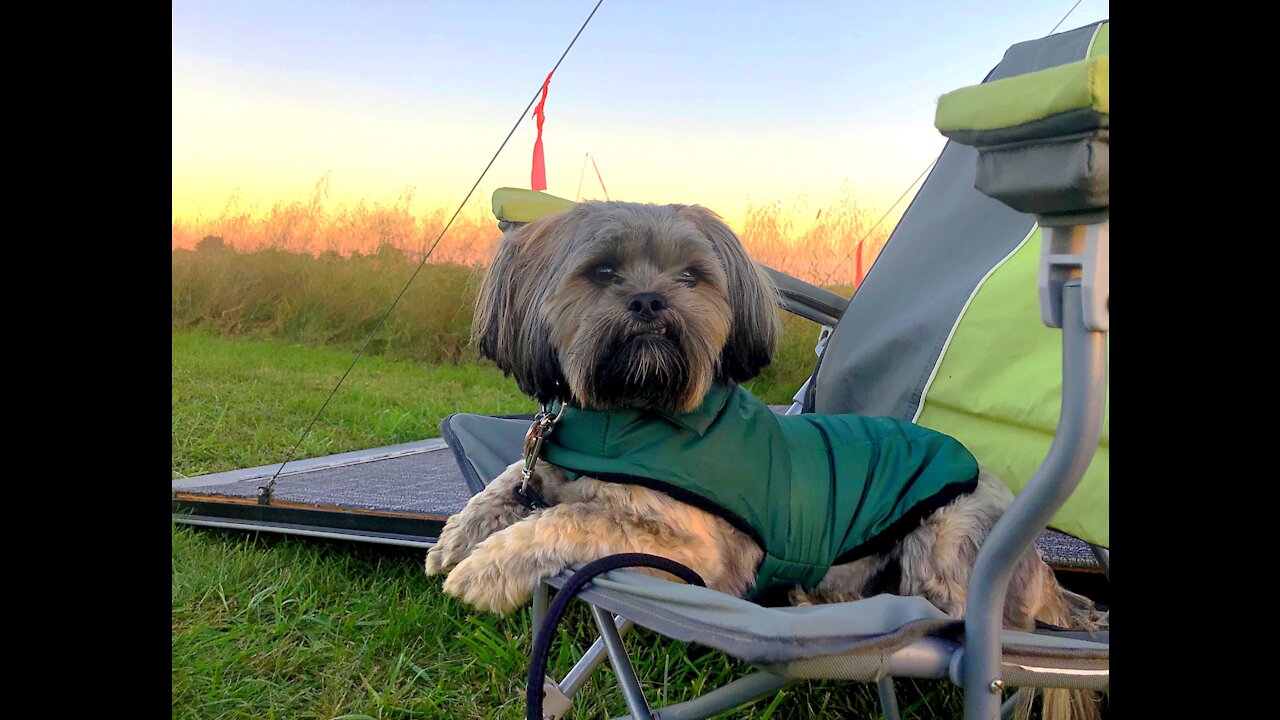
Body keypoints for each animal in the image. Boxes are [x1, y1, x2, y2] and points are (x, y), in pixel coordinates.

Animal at [424, 198, 1105, 712]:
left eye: (691, 277)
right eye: (604, 271)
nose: (650, 302)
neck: (633, 408)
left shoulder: (697, 554)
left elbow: (568, 518)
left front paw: (486, 569)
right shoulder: (548, 460)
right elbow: (510, 480)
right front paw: (458, 537)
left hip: (943, 545)